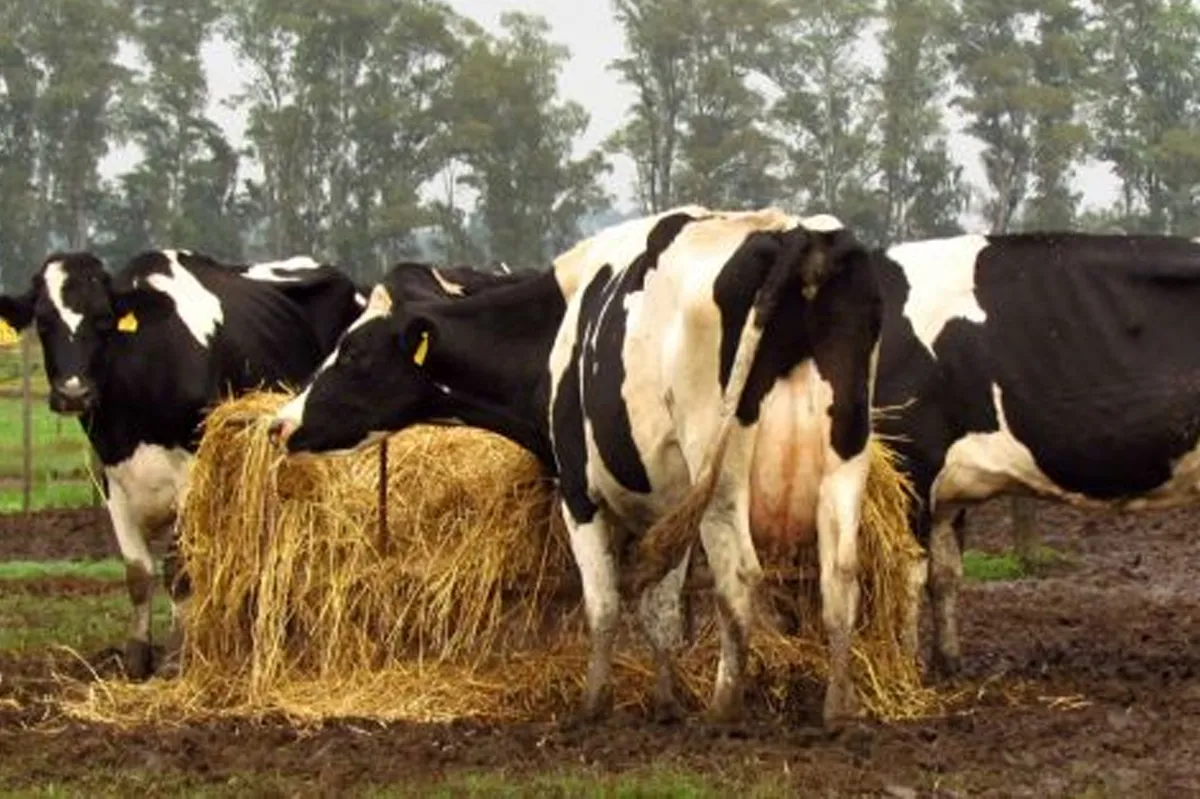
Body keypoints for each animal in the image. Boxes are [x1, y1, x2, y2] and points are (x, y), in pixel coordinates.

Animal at [0, 248, 368, 678]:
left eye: (104, 319)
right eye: (43, 321)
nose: (74, 393)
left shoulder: (191, 474)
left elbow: (177, 569)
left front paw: (176, 658)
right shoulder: (113, 480)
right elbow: (137, 571)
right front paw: (137, 656)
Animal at [267, 206, 884, 728]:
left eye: (354, 353)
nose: (280, 423)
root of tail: (793, 233)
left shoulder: (580, 493)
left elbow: (604, 603)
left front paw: (593, 704)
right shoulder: (669, 502)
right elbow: (661, 610)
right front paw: (665, 704)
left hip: (723, 474)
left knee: (740, 578)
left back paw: (725, 707)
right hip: (841, 462)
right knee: (839, 576)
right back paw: (837, 709)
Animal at [873, 231, 1200, 677]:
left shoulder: (910, 463)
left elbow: (906, 573)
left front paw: (904, 670)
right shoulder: (946, 490)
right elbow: (945, 573)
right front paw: (947, 663)